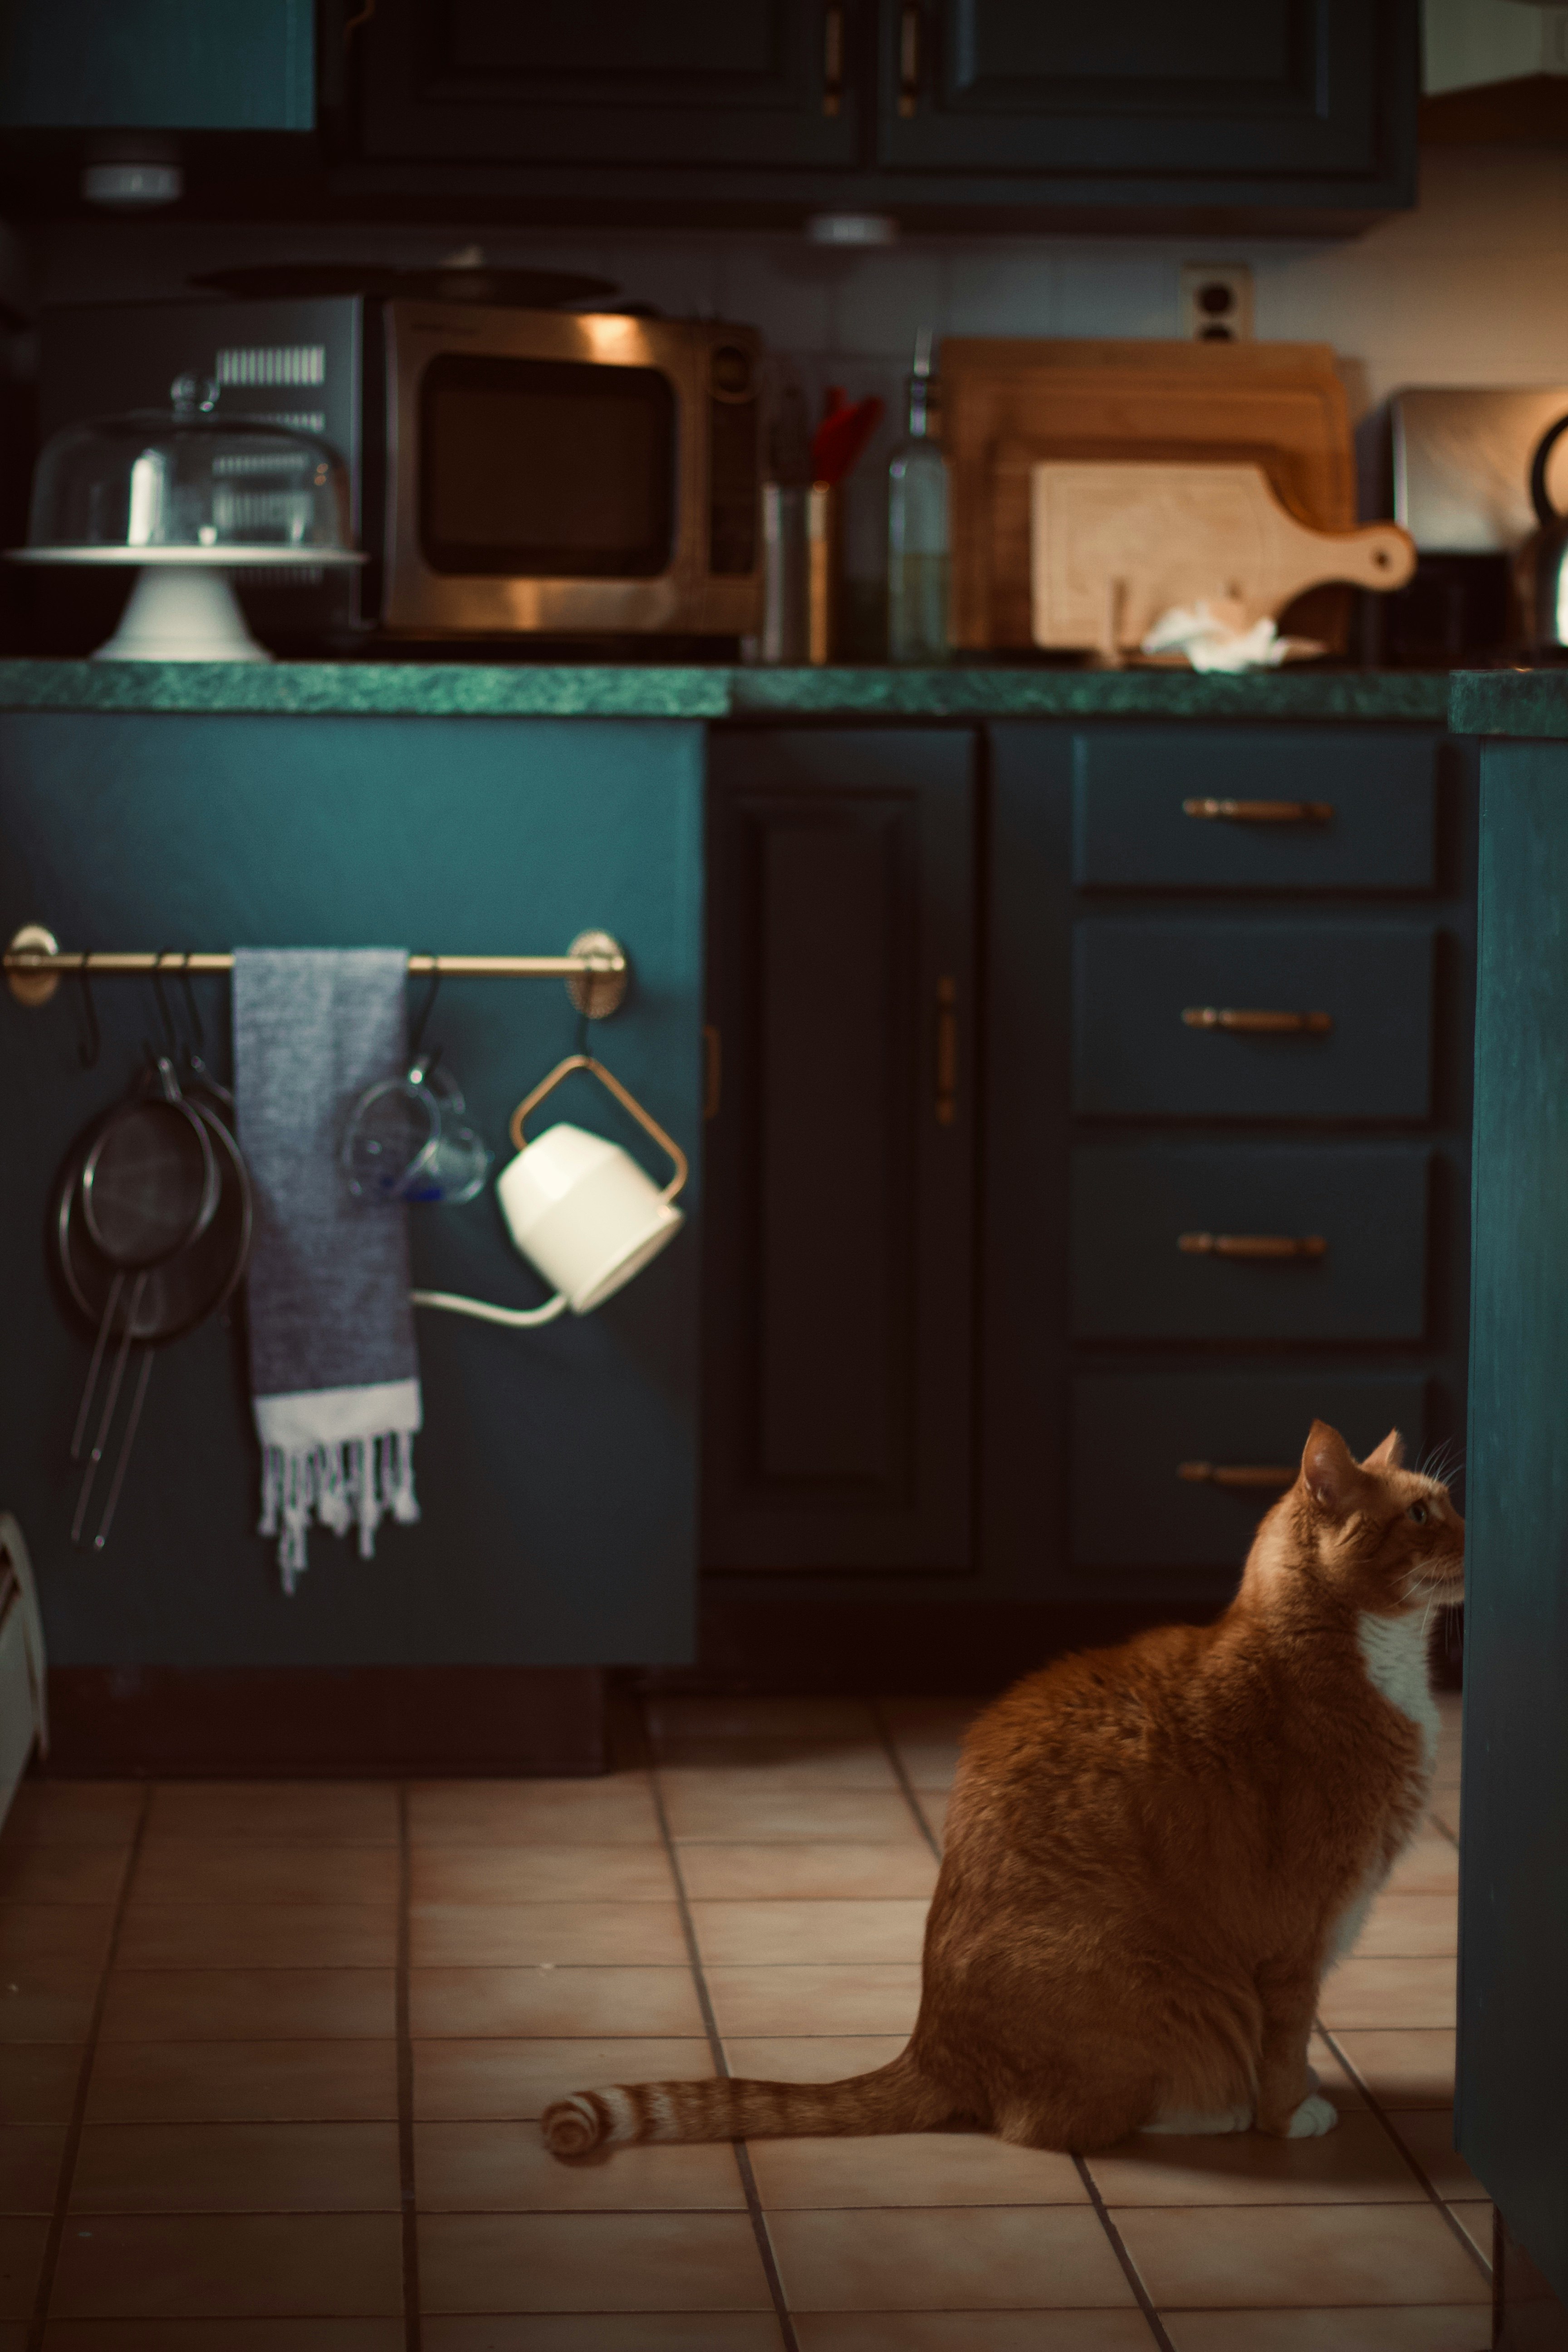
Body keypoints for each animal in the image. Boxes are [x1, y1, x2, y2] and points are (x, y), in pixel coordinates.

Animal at [545, 1421, 1467, 2154]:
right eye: (1423, 1515)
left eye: (1447, 1502)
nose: (1478, 1529)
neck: (1363, 1660)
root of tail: (932, 2044)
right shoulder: (1294, 1944)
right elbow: (1283, 2046)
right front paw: (1289, 2112)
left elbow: (1295, 2046)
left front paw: (1305, 2088)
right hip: (1164, 1987)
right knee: (1049, 2125)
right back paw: (1212, 2108)